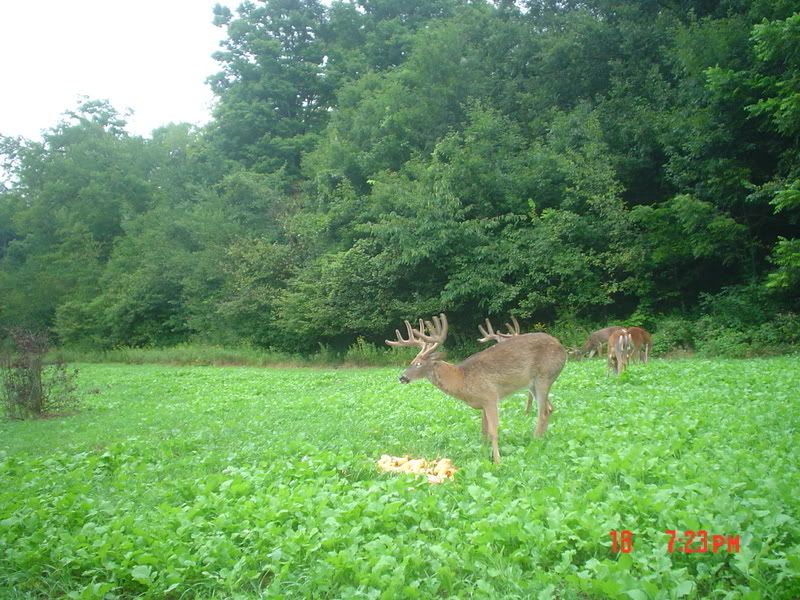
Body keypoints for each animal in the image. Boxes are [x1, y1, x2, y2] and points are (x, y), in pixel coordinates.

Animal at [386, 314, 564, 464]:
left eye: (418, 364)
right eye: (411, 361)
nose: (402, 377)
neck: (461, 379)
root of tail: (563, 349)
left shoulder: (490, 396)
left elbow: (493, 431)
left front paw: (497, 461)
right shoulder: (483, 404)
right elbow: (483, 432)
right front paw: (483, 455)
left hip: (544, 376)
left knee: (543, 412)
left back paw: (535, 442)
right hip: (533, 384)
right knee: (550, 407)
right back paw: (540, 440)